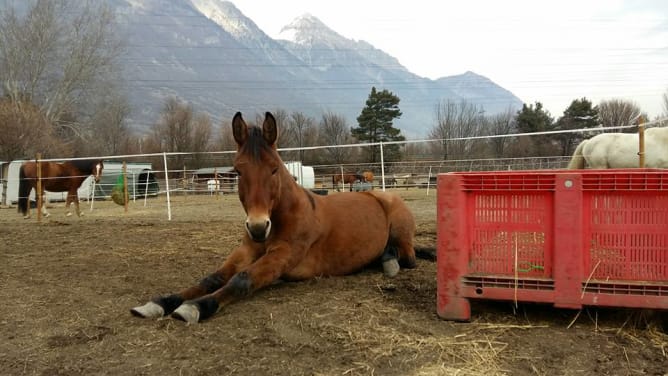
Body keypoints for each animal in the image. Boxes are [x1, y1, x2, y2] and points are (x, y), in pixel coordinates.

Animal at [130, 111, 426, 324]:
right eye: (237, 171)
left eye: (274, 169)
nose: (258, 226)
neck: (283, 216)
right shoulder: (246, 251)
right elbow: (211, 278)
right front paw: (159, 303)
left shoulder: (283, 255)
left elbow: (241, 280)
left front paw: (194, 307)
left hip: (401, 231)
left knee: (407, 257)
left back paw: (390, 263)